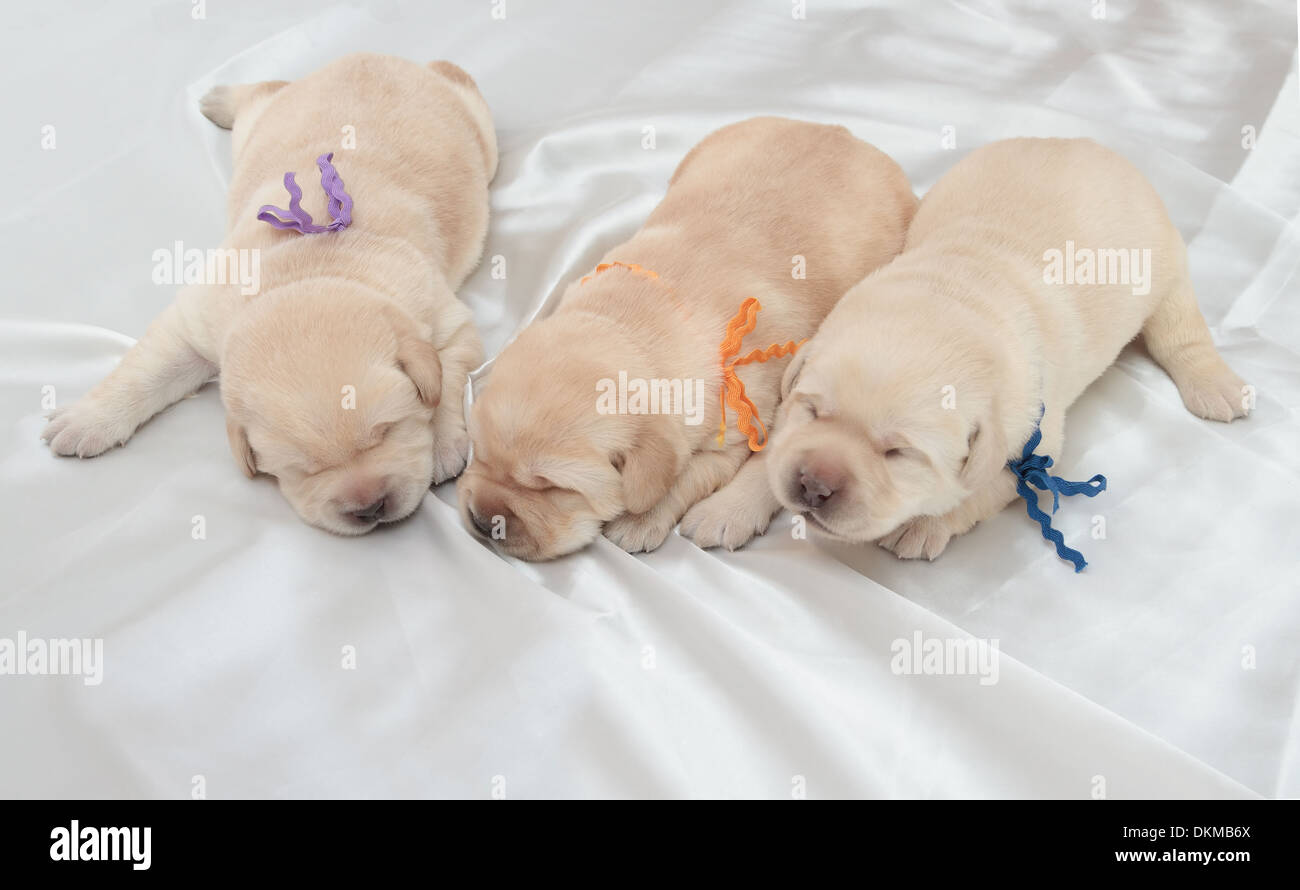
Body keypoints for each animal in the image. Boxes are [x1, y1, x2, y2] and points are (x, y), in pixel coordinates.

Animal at [40, 53, 493, 535]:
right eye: (300, 468)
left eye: (388, 431)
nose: (369, 506)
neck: (306, 273)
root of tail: (369, 57)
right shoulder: (195, 325)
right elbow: (145, 371)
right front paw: (86, 419)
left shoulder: (446, 318)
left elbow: (448, 377)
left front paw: (444, 442)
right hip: (258, 125)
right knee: (263, 92)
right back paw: (222, 97)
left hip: (481, 130)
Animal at [457, 115, 915, 558]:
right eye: (478, 452)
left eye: (554, 487)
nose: (482, 520)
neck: (628, 325)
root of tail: (838, 129)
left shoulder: (734, 436)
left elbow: (682, 477)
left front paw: (639, 521)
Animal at [712, 134, 1248, 556]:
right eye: (814, 412)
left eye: (897, 453)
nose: (813, 485)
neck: (956, 288)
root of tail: (1096, 147)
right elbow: (775, 450)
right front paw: (728, 507)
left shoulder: (1031, 445)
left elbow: (974, 491)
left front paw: (923, 525)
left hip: (1167, 273)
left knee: (1183, 332)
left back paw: (1218, 388)